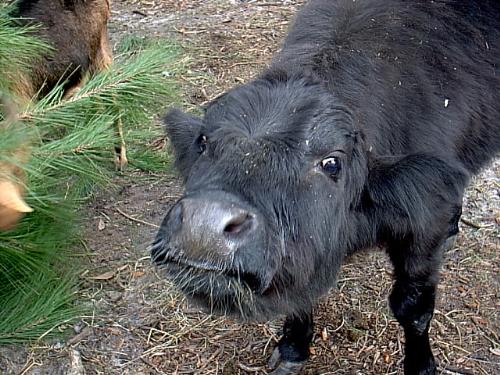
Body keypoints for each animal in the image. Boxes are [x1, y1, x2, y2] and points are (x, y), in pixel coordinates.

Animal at [153, 1, 500, 374]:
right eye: (203, 142)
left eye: (331, 163)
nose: (203, 225)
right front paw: (292, 349)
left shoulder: (427, 222)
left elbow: (413, 308)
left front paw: (421, 365)